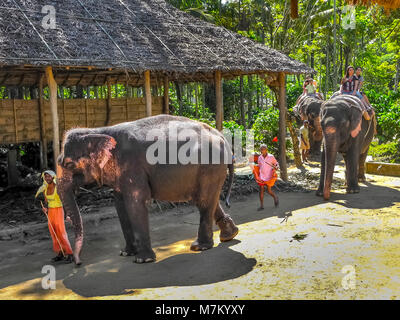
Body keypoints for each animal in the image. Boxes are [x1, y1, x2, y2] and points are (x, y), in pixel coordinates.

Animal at [55, 115, 238, 264]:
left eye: (69, 165)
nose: (77, 262)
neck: (97, 131)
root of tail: (222, 137)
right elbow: (120, 205)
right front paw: (126, 253)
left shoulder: (132, 166)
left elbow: (136, 203)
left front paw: (143, 260)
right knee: (206, 199)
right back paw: (230, 235)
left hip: (210, 165)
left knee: (204, 201)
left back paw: (200, 247)